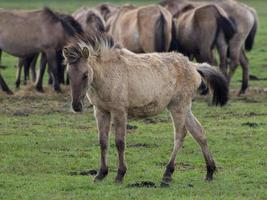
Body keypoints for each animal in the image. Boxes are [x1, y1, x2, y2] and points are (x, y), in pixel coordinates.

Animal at [63, 33, 229, 186]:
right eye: (69, 75)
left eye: (85, 75)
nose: (76, 106)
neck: (108, 74)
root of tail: (194, 66)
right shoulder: (101, 111)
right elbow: (103, 141)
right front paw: (100, 174)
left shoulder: (119, 111)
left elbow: (119, 142)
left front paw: (120, 175)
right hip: (183, 107)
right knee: (199, 132)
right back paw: (209, 172)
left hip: (178, 106)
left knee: (180, 135)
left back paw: (167, 174)